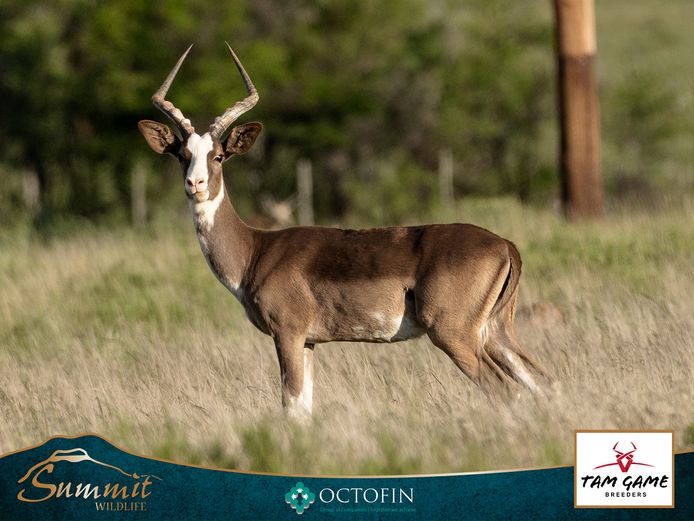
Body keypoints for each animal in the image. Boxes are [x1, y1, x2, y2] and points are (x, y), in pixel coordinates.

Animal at [138, 44, 545, 418]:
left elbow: (291, 408)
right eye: (181, 155)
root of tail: (505, 245)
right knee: (540, 381)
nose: (195, 184)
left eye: (219, 155)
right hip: (495, 333)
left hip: (454, 334)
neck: (256, 250)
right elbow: (304, 408)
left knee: (505, 390)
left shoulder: (288, 334)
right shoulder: (309, 343)